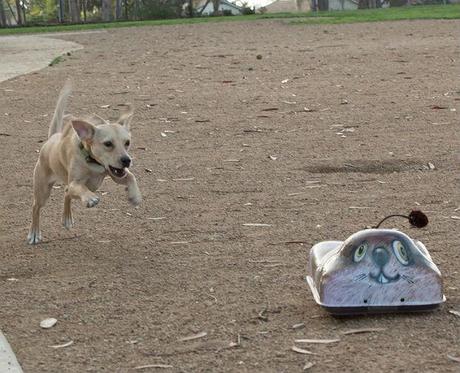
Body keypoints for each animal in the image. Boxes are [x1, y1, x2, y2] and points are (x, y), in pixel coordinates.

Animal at [27, 82, 141, 243]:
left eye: (127, 143)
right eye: (108, 144)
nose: (126, 160)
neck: (92, 163)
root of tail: (51, 139)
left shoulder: (114, 173)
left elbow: (131, 176)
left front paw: (135, 195)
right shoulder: (75, 182)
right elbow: (80, 187)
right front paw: (90, 198)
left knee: (66, 192)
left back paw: (67, 218)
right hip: (42, 190)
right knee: (36, 207)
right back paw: (34, 233)